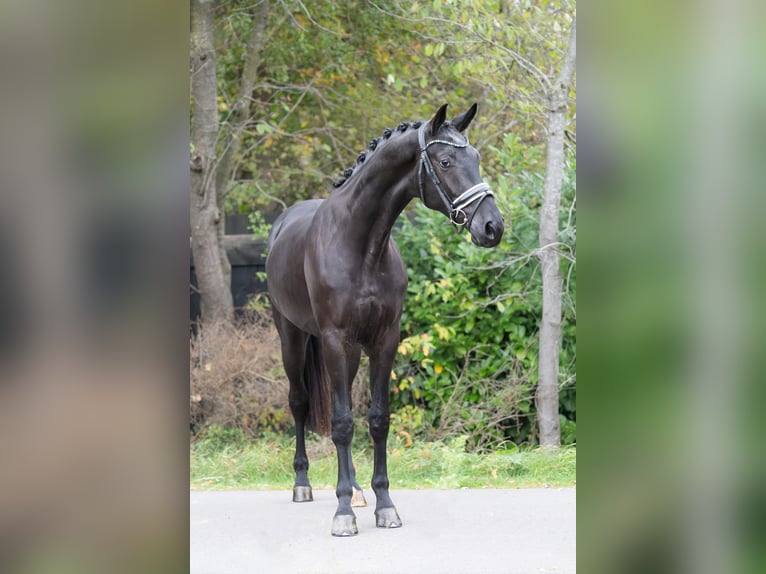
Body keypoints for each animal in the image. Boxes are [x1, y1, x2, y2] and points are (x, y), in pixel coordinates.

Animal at [265, 103, 504, 536]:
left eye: (476, 158)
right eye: (445, 161)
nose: (492, 227)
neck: (361, 245)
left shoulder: (384, 340)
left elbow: (376, 420)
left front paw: (384, 505)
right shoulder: (335, 338)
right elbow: (342, 423)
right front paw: (342, 513)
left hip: (349, 353)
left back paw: (357, 489)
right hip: (291, 337)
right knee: (300, 403)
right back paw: (303, 484)